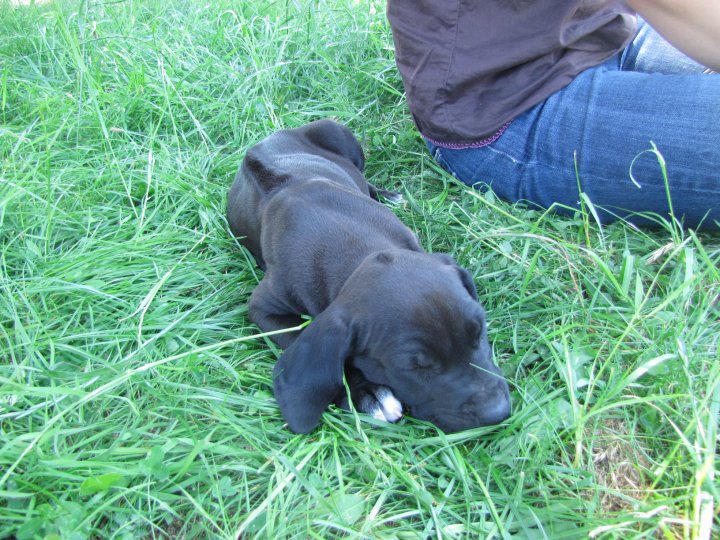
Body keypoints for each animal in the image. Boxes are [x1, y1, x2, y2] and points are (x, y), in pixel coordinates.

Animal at [228, 119, 510, 434]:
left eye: (479, 332)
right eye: (414, 367)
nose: (498, 411)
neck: (357, 248)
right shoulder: (264, 309)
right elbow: (312, 343)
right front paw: (367, 393)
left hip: (336, 131)